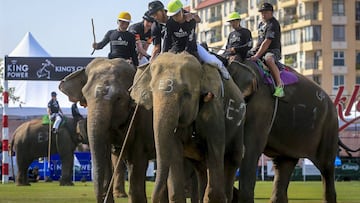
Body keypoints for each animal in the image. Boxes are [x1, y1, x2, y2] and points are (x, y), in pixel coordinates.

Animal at [131, 52, 246, 203]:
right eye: (151, 91)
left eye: (186, 93)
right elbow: (174, 152)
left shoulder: (214, 109)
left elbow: (215, 148)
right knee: (202, 169)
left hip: (239, 127)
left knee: (232, 159)